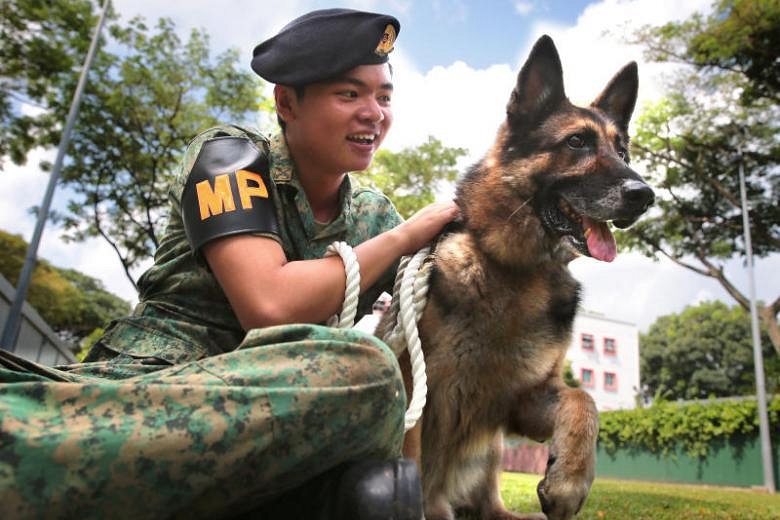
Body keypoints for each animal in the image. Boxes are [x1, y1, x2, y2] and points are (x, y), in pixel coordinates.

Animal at [378, 36, 652, 520]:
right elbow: (410, 459)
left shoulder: (524, 399)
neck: (516, 268)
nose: (645, 195)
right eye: (577, 142)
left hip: (490, 453)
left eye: (623, 154)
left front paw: (568, 481)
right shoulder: (416, 389)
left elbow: (585, 402)